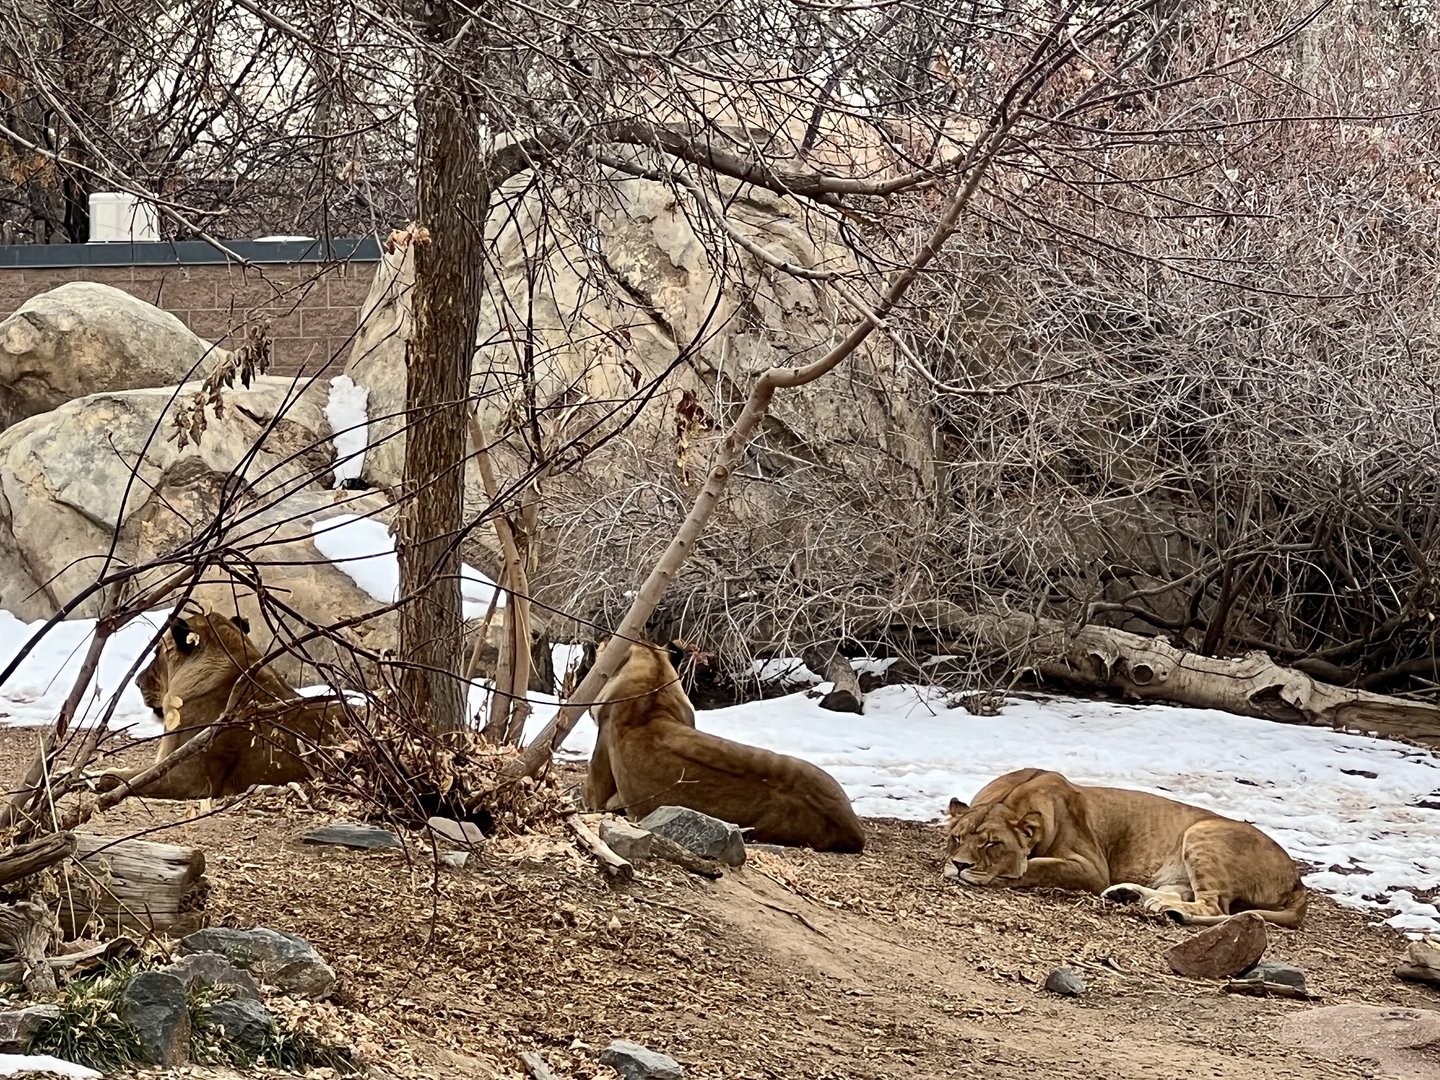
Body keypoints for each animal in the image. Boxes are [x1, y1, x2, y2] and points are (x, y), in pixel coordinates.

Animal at [942, 767, 1308, 927]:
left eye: (993, 843)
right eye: (956, 838)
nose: (959, 865)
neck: (1014, 796)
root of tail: (1298, 879)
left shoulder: (1092, 867)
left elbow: (1038, 866)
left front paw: (1003, 872)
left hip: (1203, 831)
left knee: (1214, 906)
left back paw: (1163, 909)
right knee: (1183, 894)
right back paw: (1132, 897)